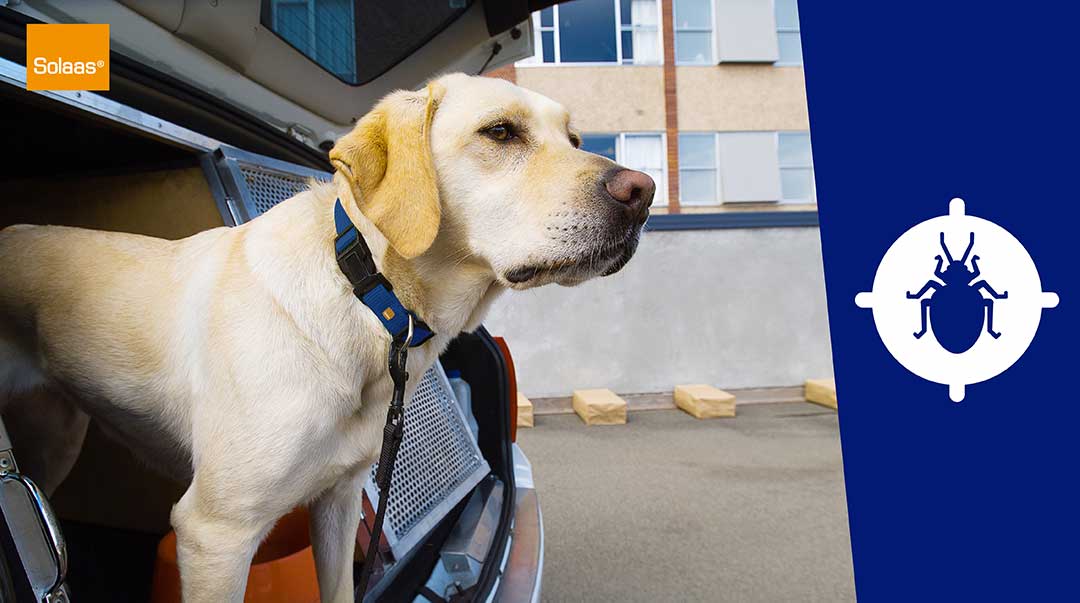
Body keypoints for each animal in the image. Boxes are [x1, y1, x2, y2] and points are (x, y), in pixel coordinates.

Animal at [0, 73, 648, 600]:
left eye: (575, 137)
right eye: (501, 132)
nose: (643, 192)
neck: (368, 299)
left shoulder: (337, 501)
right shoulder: (215, 533)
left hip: (56, 435)